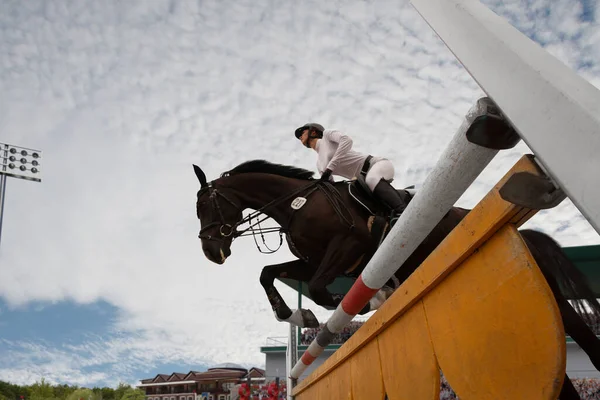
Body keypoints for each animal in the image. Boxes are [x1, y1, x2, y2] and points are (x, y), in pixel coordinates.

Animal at [193, 159, 600, 400]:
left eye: (204, 206)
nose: (211, 252)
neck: (298, 204)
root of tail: (523, 234)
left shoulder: (347, 246)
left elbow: (325, 291)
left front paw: (371, 301)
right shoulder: (316, 262)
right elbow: (269, 273)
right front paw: (296, 315)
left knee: (578, 330)